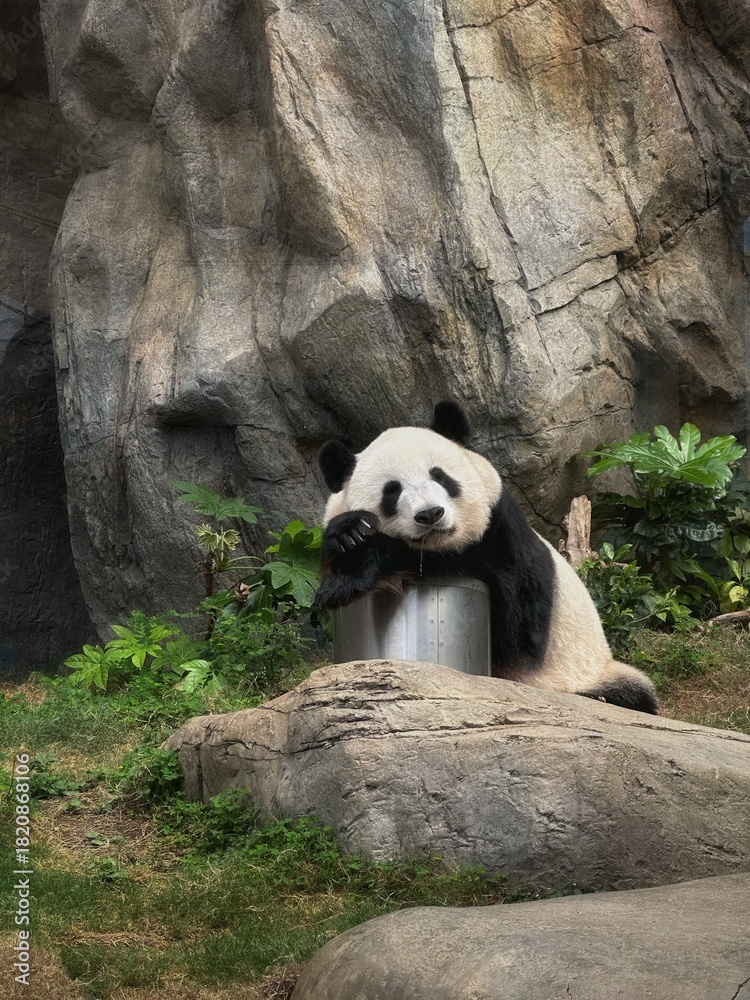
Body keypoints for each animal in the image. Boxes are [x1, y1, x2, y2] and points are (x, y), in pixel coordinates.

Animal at [314, 401, 658, 714]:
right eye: (392, 490)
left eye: (440, 476)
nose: (430, 514)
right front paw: (349, 533)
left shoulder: (504, 534)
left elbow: (518, 630)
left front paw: (353, 571)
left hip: (587, 671)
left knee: (632, 693)